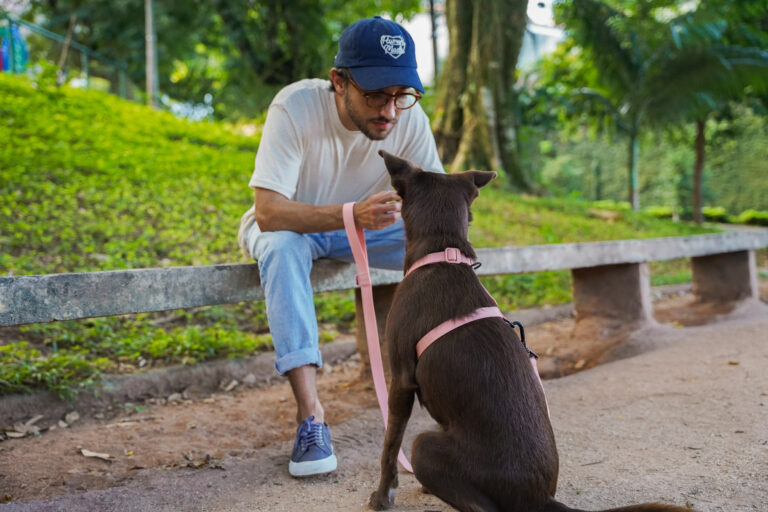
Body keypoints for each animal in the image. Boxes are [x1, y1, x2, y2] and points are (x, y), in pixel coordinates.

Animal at [368, 151, 692, 512]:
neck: (443, 255)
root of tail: (541, 497)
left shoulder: (400, 379)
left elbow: (390, 445)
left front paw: (382, 496)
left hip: (424, 445)